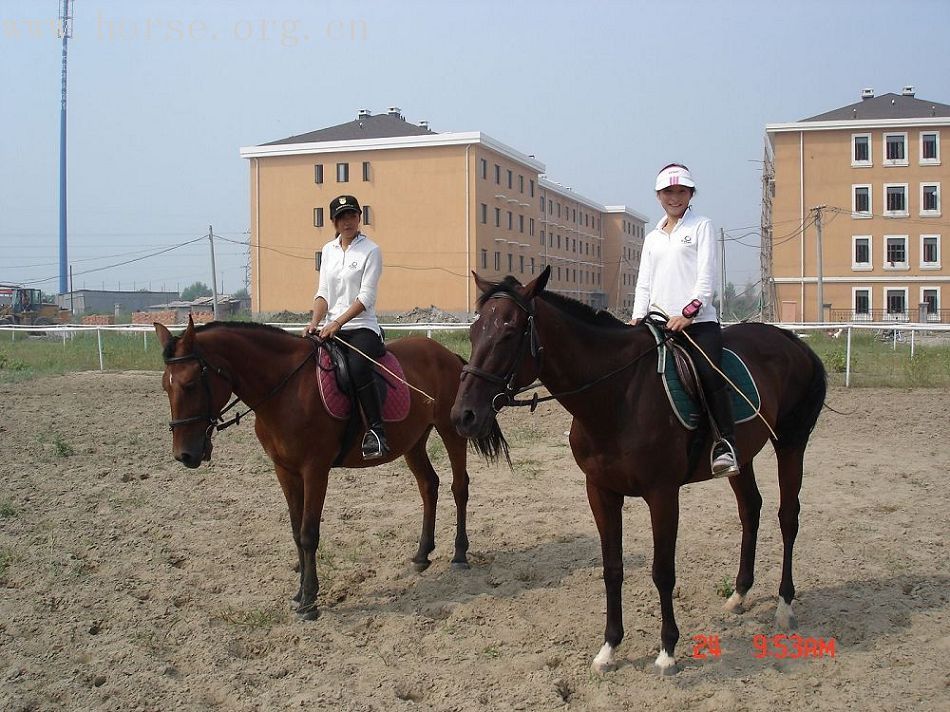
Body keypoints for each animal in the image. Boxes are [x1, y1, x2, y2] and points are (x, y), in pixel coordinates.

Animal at [156, 320, 510, 620]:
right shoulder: (284, 471)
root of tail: (445, 354)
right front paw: (299, 594)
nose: (185, 455)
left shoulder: (315, 470)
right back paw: (422, 554)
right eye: (165, 386)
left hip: (452, 431)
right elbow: (295, 532)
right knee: (429, 485)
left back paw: (460, 555)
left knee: (459, 487)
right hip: (413, 441)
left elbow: (309, 533)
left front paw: (310, 602)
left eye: (190, 384)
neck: (286, 389)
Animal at [454, 266, 824, 672]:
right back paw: (740, 594)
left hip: (791, 442)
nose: (464, 416)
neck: (618, 394)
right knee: (750, 510)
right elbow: (612, 568)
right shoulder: (601, 491)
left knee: (788, 517)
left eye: (508, 332)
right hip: (743, 458)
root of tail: (791, 341)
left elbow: (662, 571)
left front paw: (667, 650)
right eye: (474, 332)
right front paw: (609, 647)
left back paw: (784, 606)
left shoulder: (662, 494)